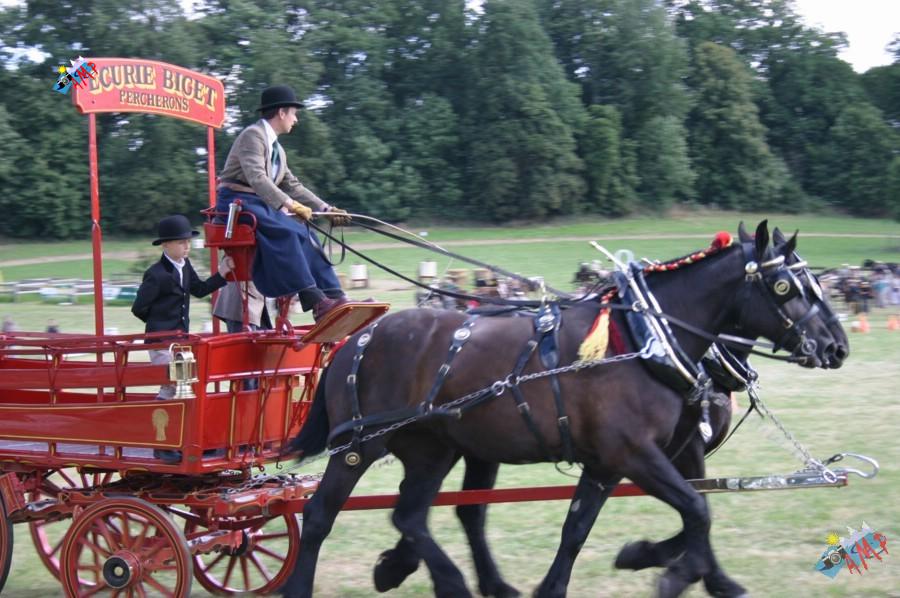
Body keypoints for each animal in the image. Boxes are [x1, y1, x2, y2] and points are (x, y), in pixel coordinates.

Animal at [281, 222, 846, 598]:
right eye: (785, 286)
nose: (836, 346)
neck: (645, 342)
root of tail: (358, 339)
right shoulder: (636, 456)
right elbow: (697, 510)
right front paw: (672, 573)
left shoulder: (612, 462)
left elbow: (582, 529)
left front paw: (644, 564)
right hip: (359, 446)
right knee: (321, 514)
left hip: (433, 448)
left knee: (414, 514)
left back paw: (447, 578)